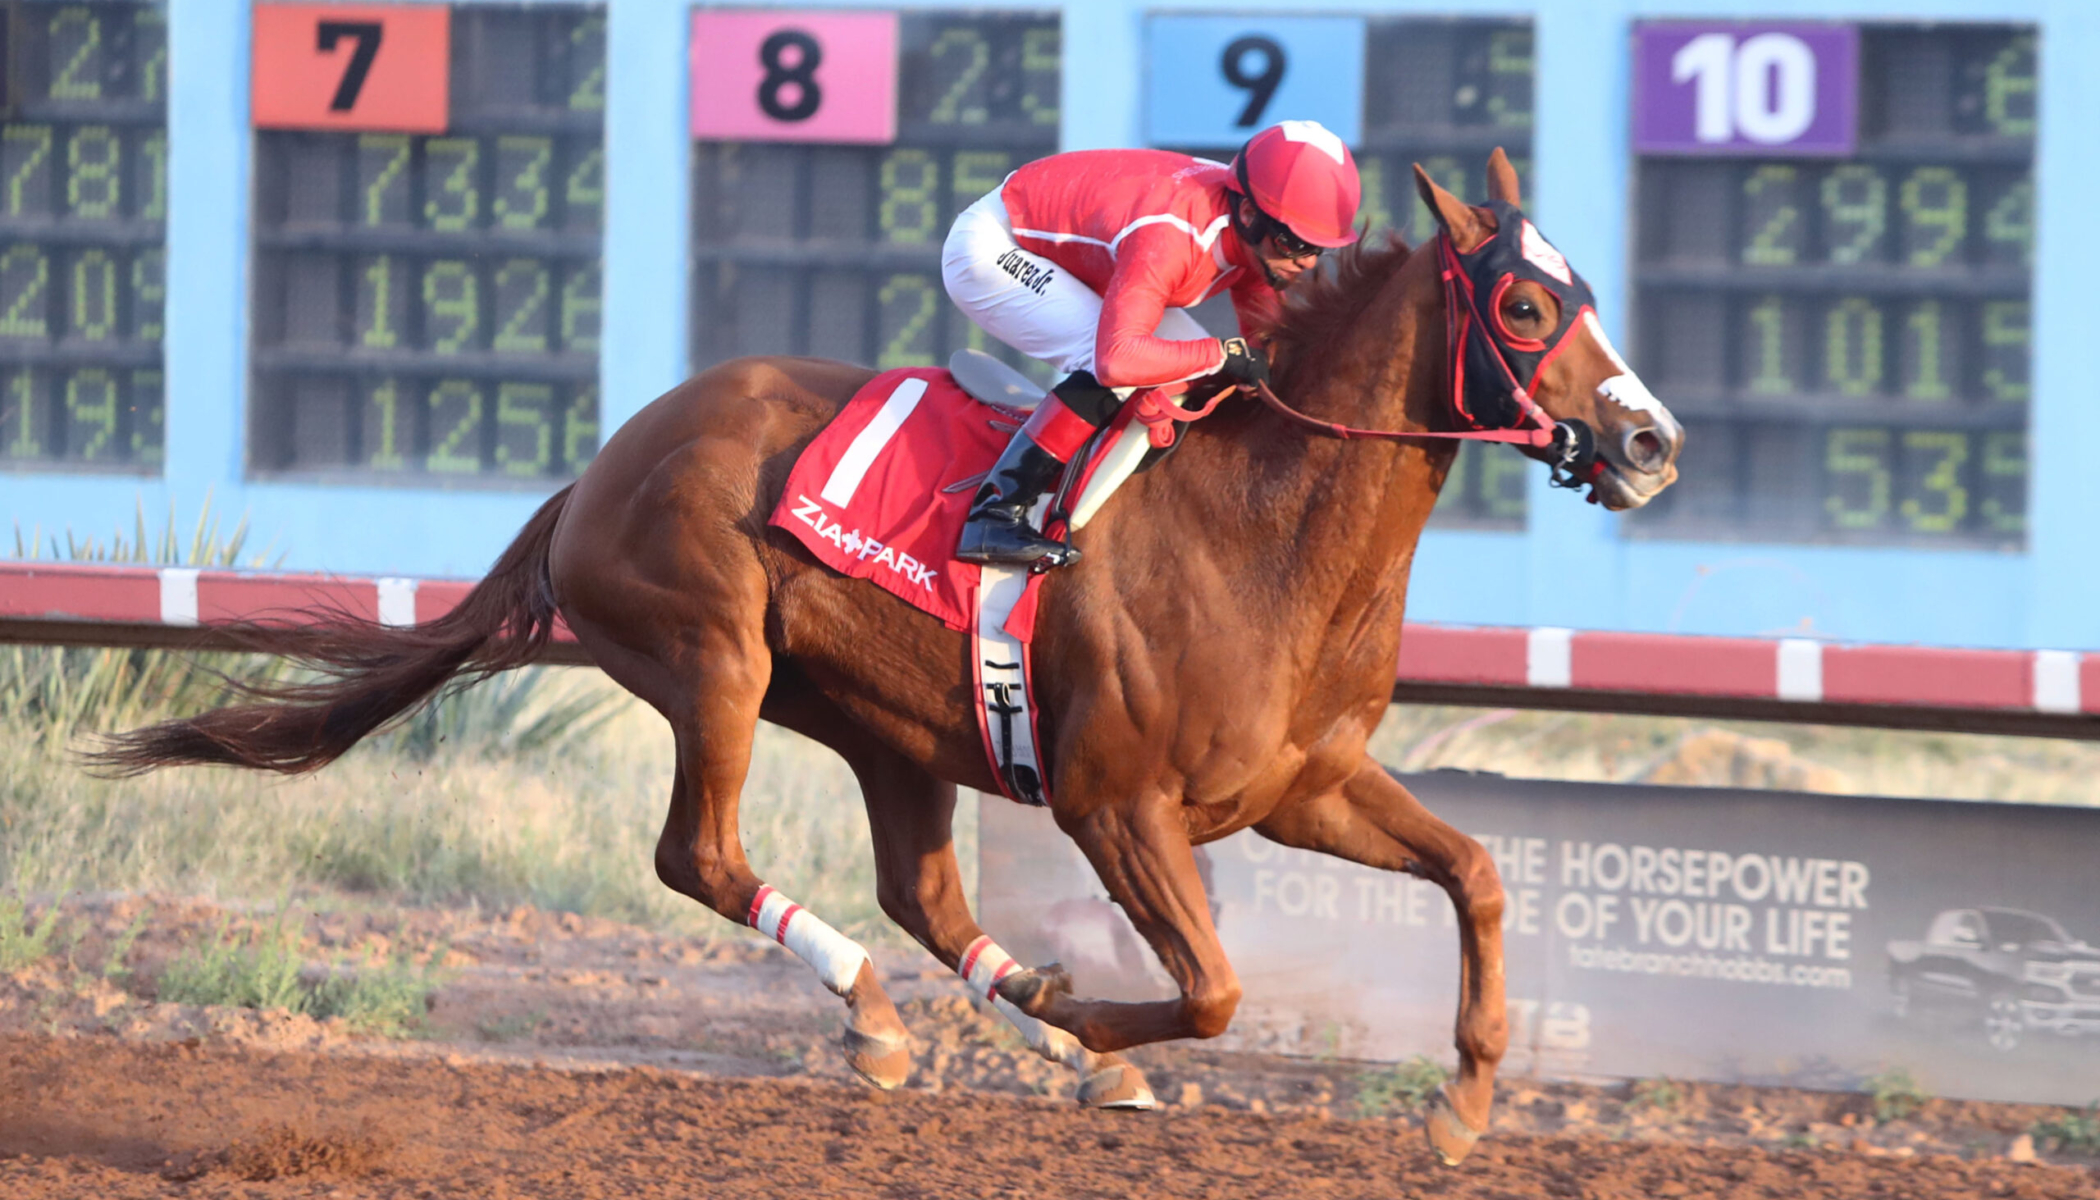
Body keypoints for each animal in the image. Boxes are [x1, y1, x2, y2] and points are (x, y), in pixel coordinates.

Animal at [98, 154, 1679, 1160]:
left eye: (1589, 292)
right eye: (1526, 307)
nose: (1652, 440)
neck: (1263, 524)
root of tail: (603, 464)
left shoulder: (1303, 785)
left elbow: (1475, 873)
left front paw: (1463, 1103)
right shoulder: (1115, 802)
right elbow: (1217, 989)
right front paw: (1090, 1021)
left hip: (894, 731)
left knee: (921, 892)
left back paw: (1015, 1022)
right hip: (715, 662)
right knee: (702, 856)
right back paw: (884, 1019)